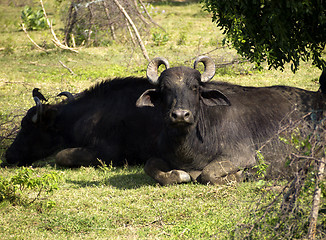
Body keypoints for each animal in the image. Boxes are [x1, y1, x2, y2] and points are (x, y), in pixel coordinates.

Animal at [136, 55, 324, 186]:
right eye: (165, 88)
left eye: (195, 88)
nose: (181, 115)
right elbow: (150, 165)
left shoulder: (242, 157)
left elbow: (208, 173)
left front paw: (239, 175)